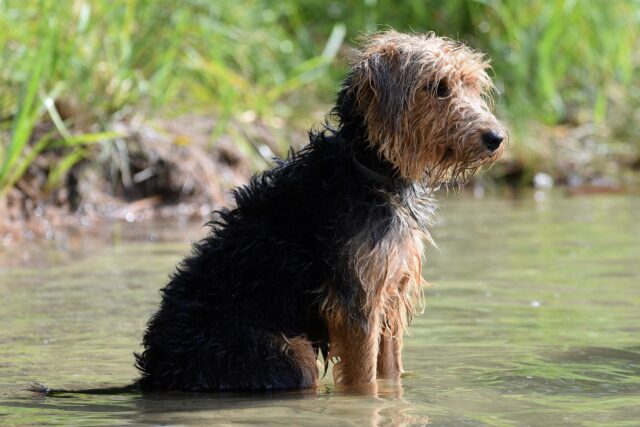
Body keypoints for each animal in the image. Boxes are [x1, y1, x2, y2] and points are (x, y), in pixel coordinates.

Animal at [135, 29, 504, 392]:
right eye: (438, 88)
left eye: (472, 86)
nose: (496, 137)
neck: (367, 171)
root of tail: (156, 373)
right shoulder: (357, 305)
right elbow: (363, 382)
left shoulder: (391, 294)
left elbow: (390, 372)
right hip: (290, 355)